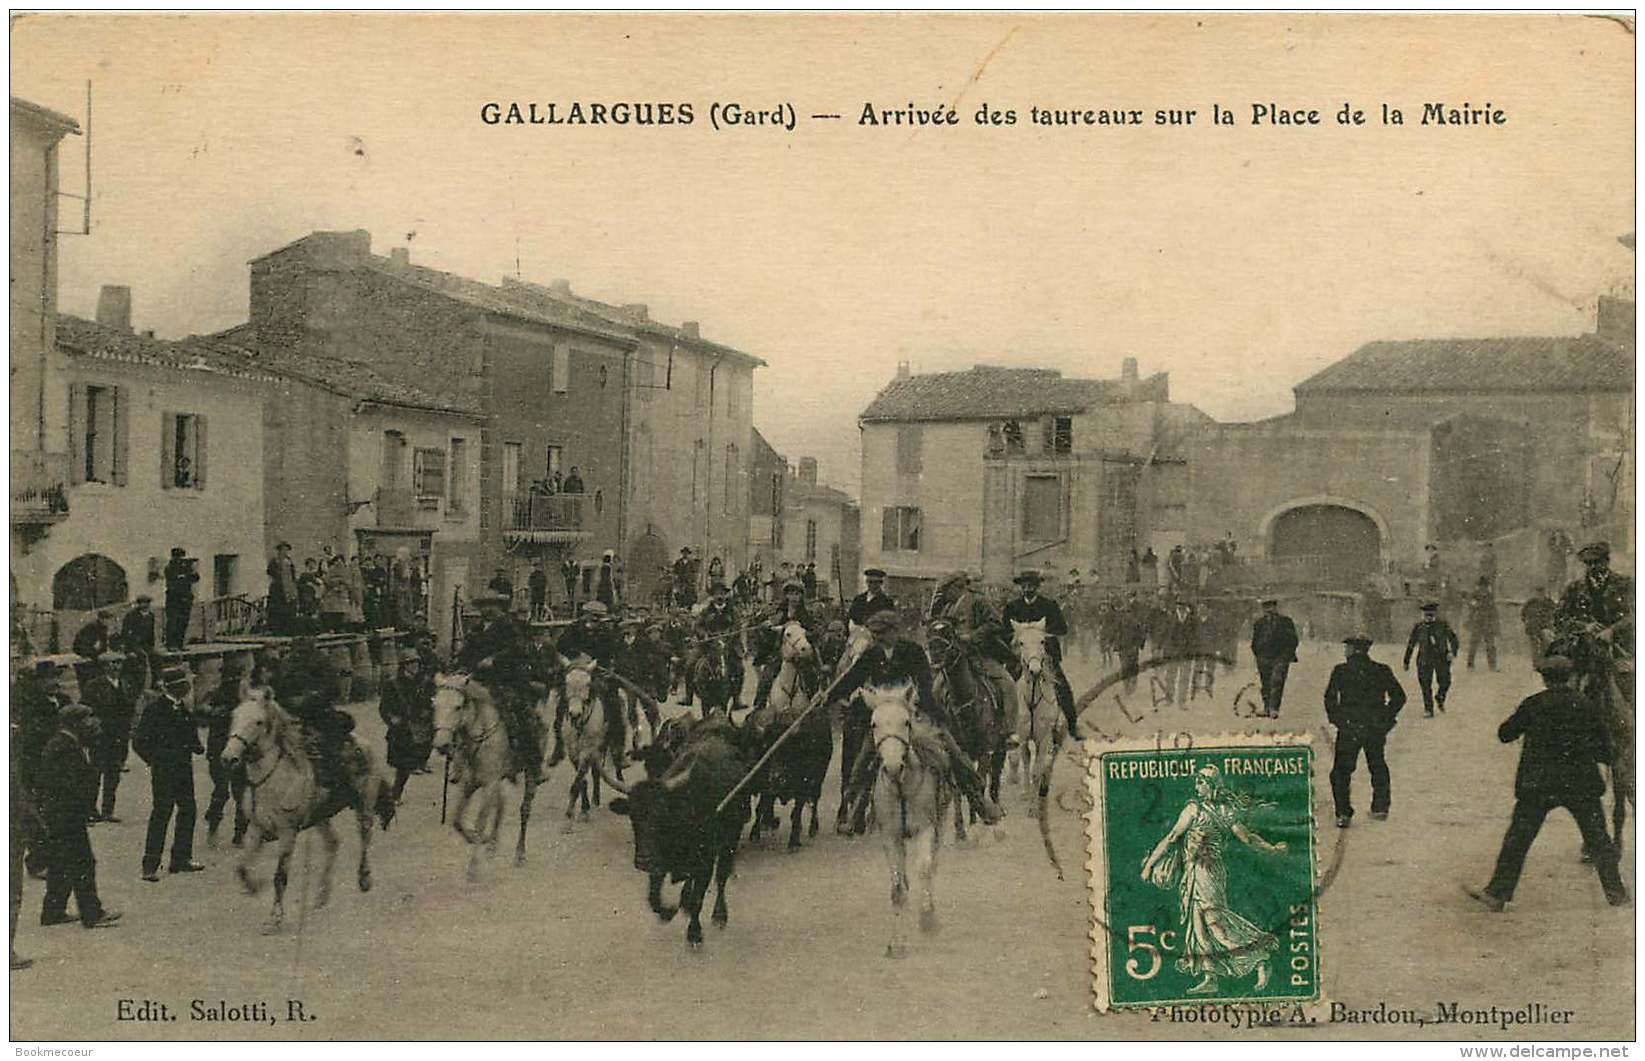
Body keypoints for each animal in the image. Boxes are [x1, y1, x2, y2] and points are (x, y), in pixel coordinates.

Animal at [605, 733, 746, 947]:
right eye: (633, 817)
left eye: (662, 816)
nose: (643, 861)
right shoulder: (659, 864)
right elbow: (653, 898)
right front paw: (669, 912)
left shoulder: (704, 863)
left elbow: (699, 898)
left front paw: (694, 935)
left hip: (731, 838)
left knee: (722, 876)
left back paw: (719, 915)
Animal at [861, 677, 954, 960]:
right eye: (874, 723)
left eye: (906, 722)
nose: (892, 766)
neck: (902, 788)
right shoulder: (891, 837)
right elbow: (897, 888)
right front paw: (897, 943)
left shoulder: (926, 828)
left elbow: (924, 868)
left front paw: (927, 920)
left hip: (941, 821)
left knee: (932, 865)